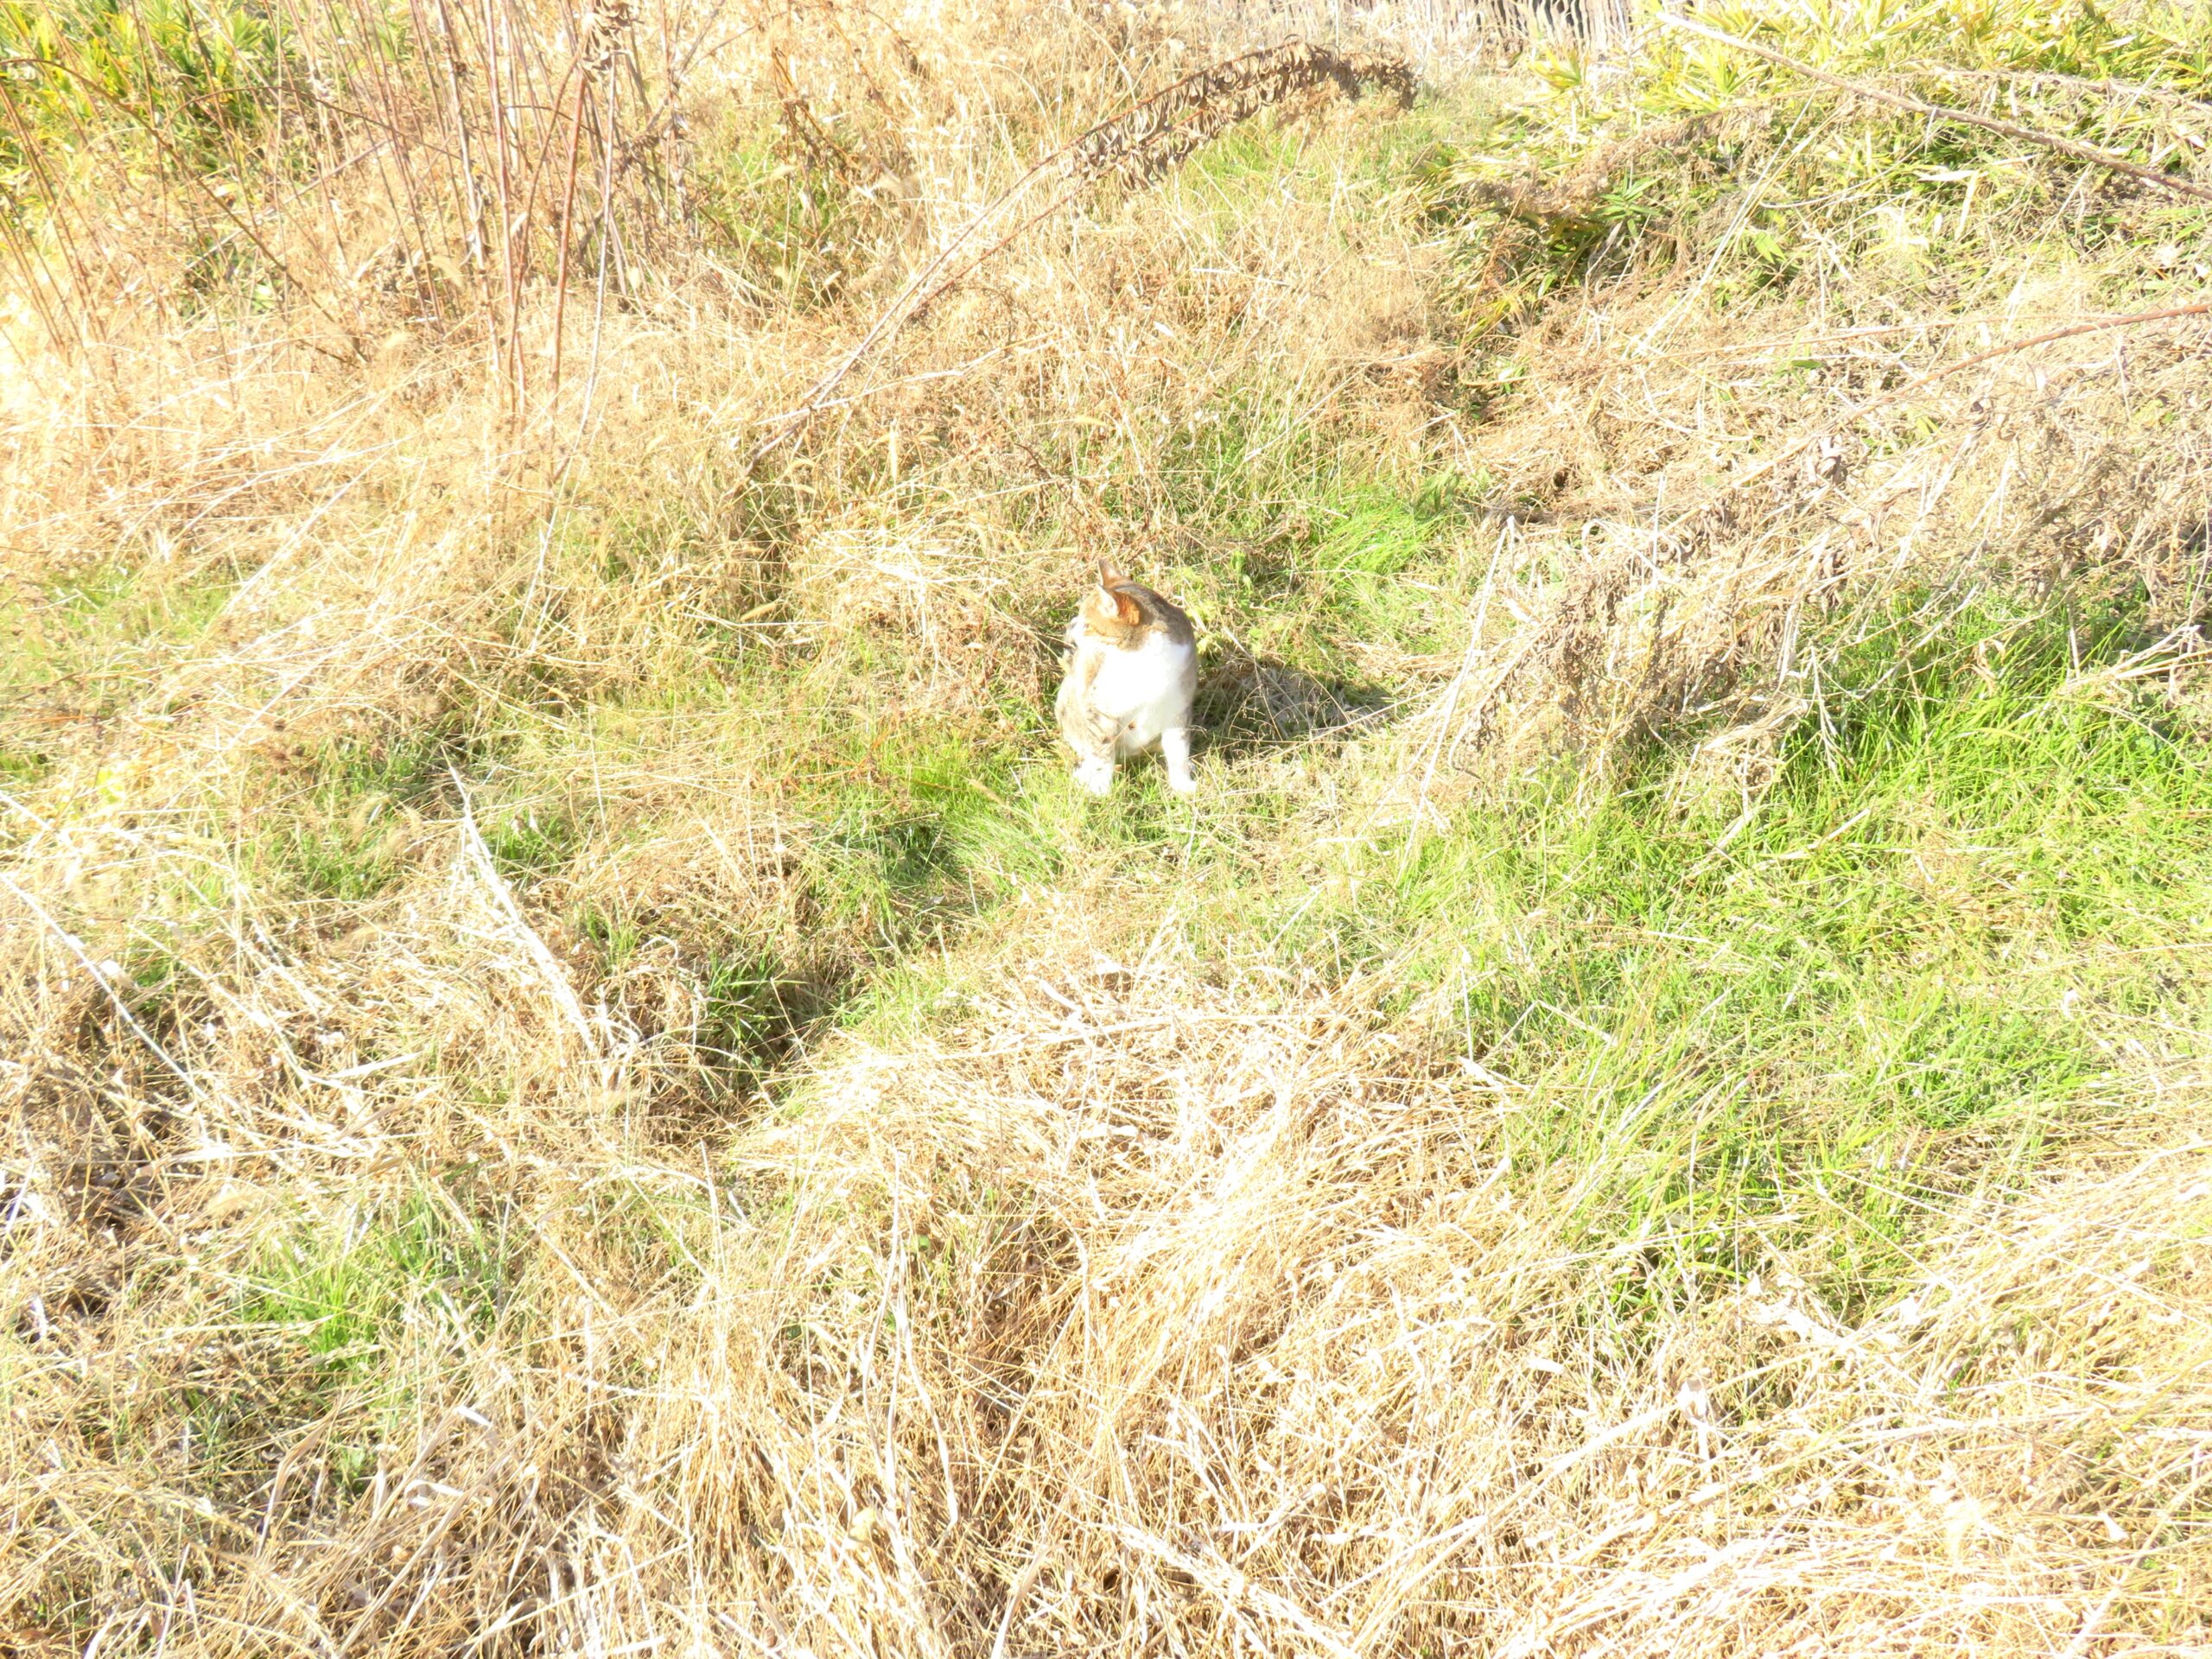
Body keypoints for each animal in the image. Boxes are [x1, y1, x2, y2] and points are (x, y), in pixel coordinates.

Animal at [1052, 559, 1194, 800]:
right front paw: (1100, 789)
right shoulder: (1099, 709)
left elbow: (1178, 750)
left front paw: (1182, 785)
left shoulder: (1177, 708)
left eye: (1088, 625)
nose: (1071, 637)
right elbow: (1101, 752)